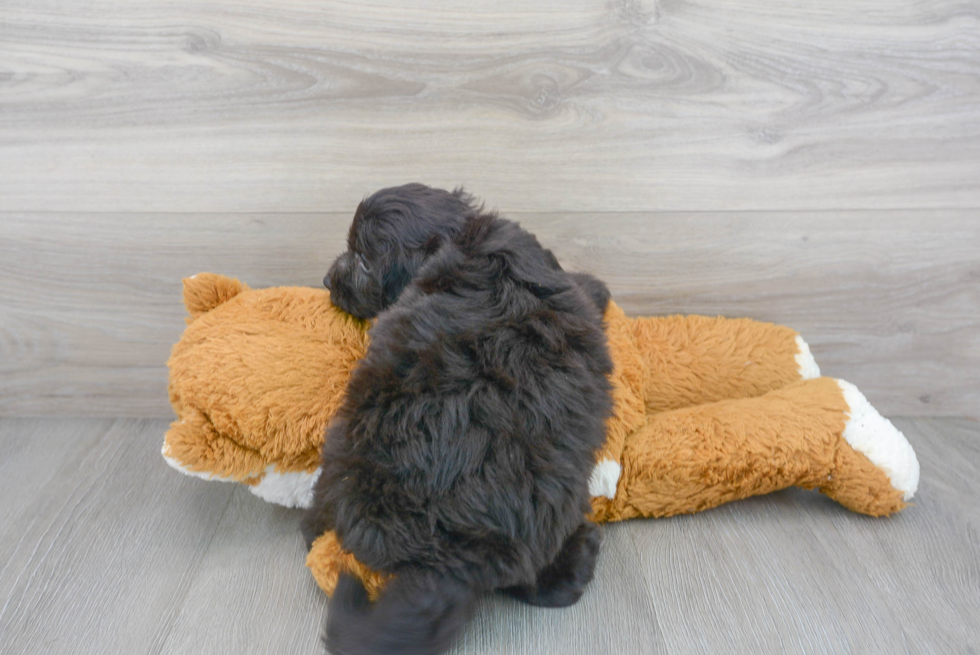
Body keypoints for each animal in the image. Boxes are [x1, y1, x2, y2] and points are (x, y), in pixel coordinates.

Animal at [304, 184, 612, 655]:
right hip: (560, 487)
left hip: (338, 452)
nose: (325, 281)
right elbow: (584, 289)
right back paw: (576, 559)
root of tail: (438, 558)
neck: (460, 238)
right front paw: (599, 287)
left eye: (362, 260)